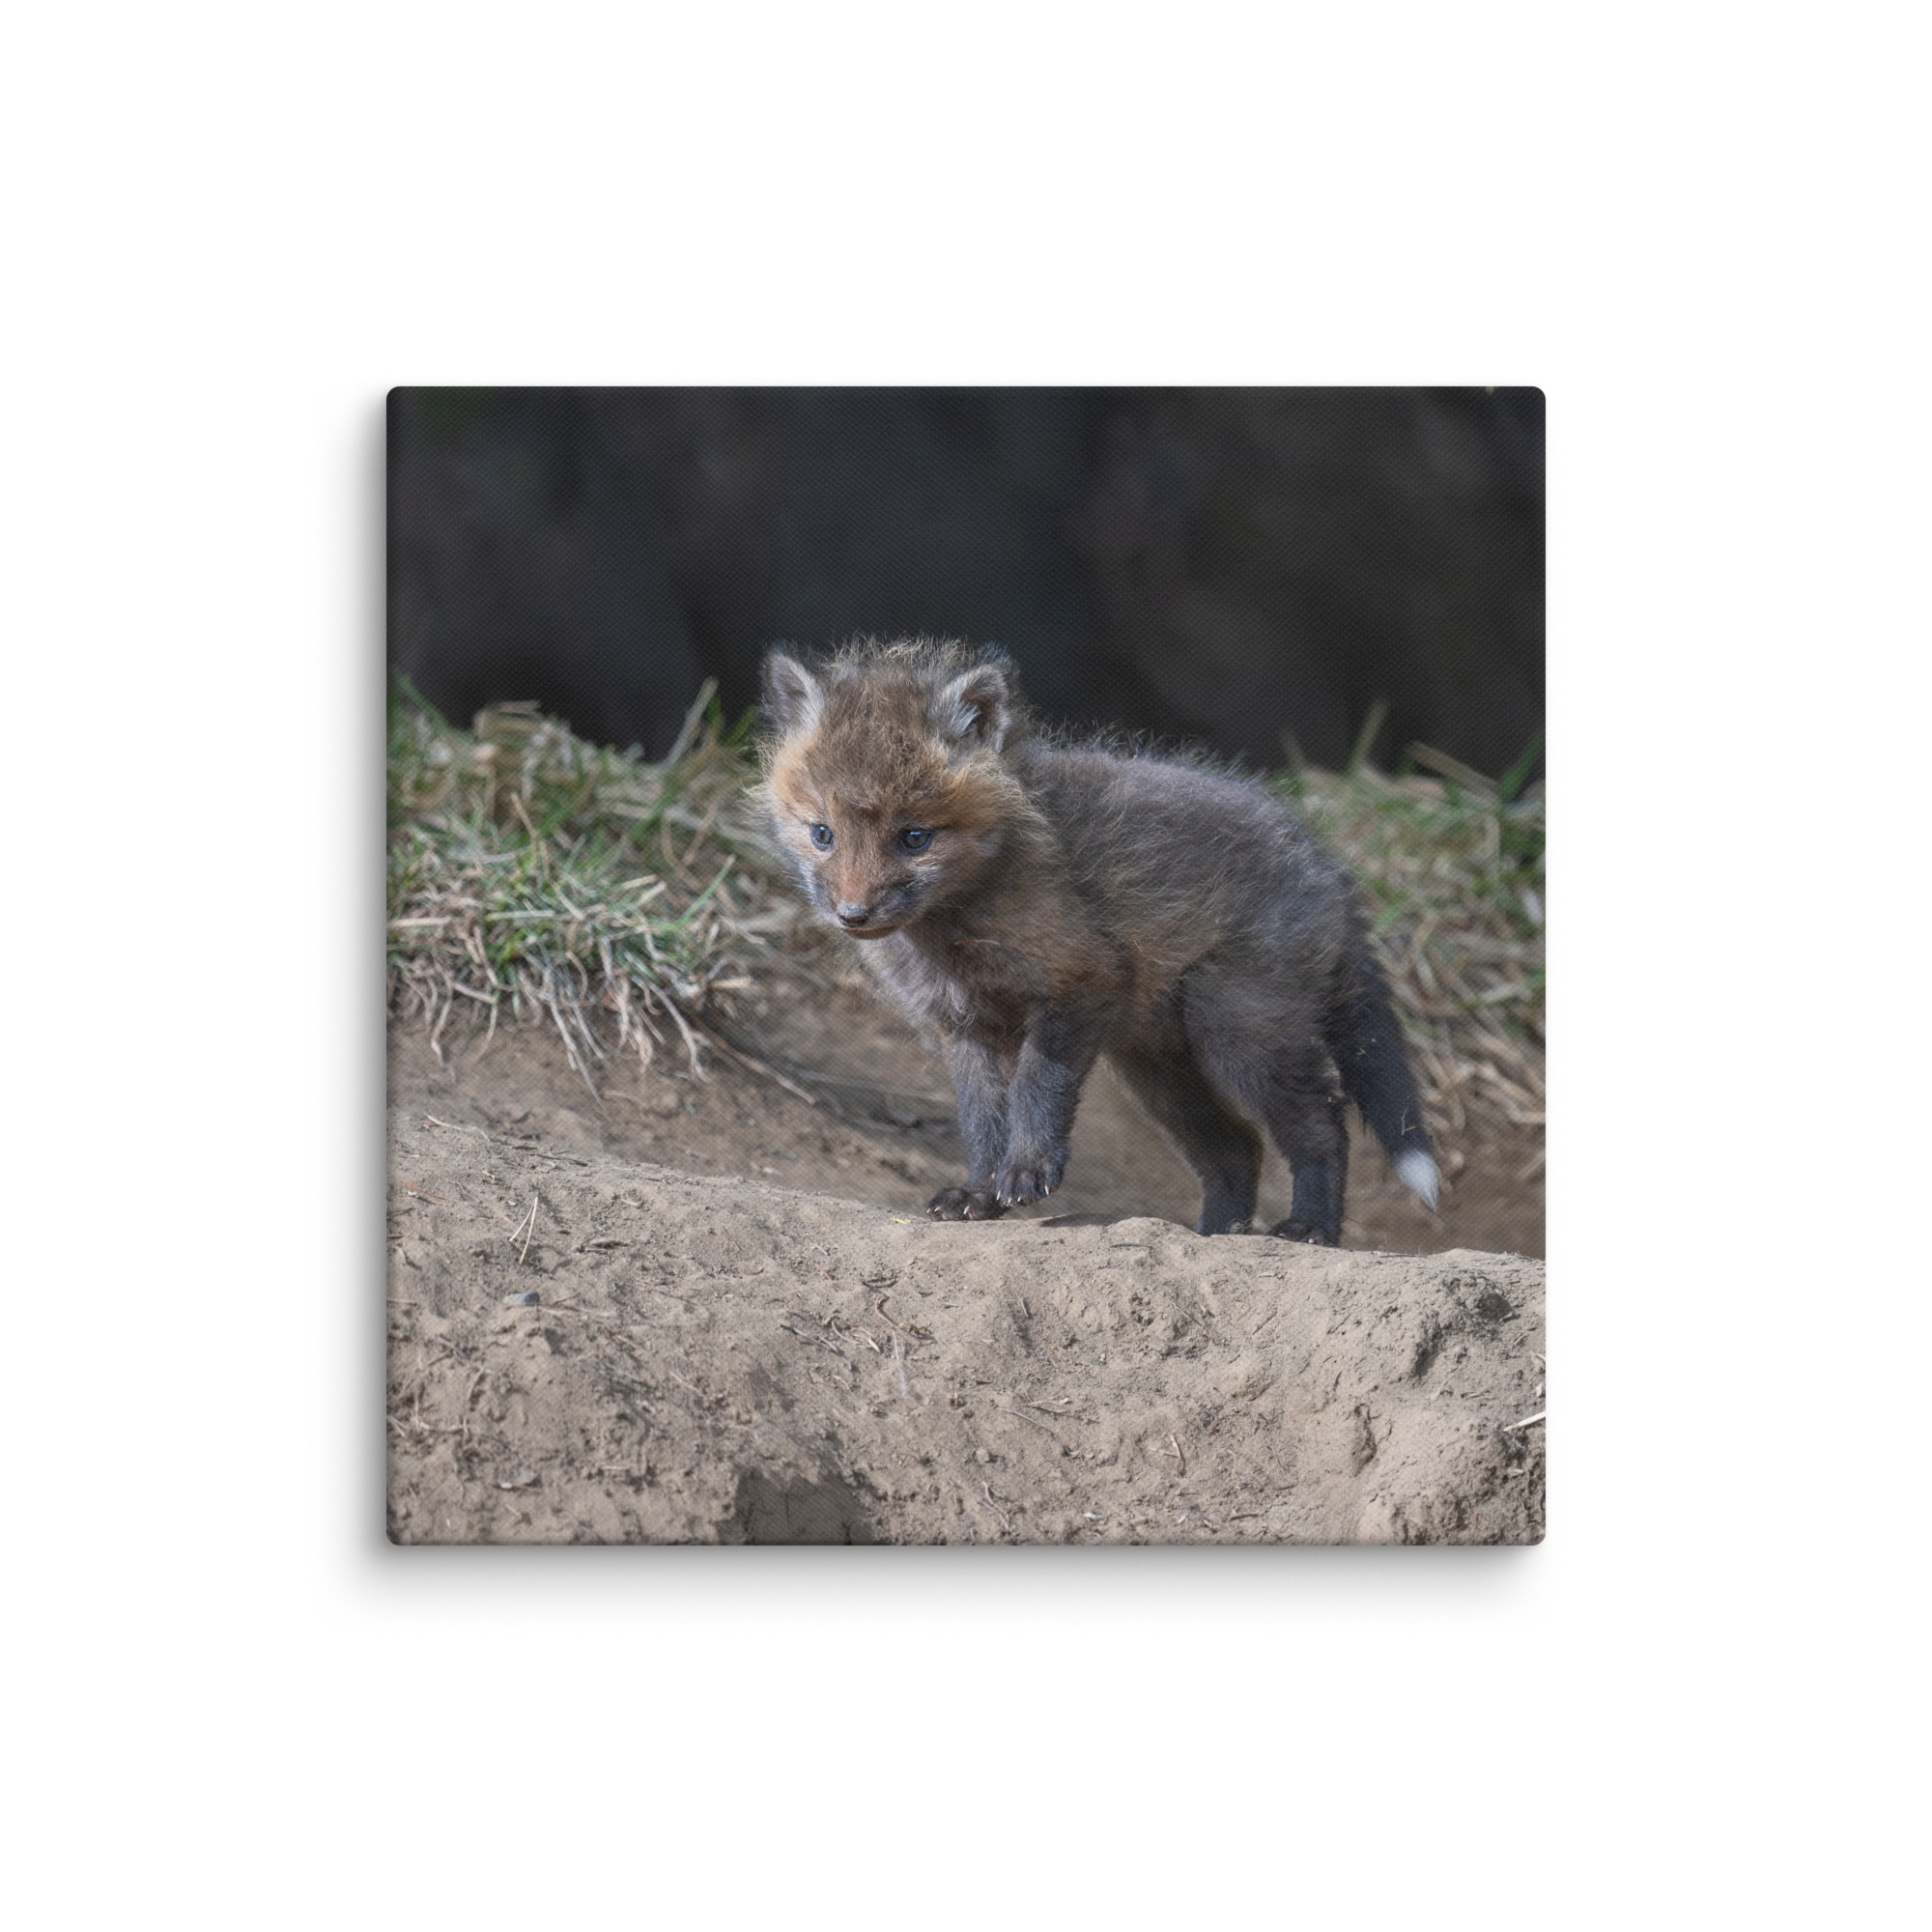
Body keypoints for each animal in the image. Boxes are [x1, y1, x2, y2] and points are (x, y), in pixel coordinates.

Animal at [758, 637, 1440, 1246]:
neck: (955, 935)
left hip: (1239, 1033)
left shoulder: (1080, 981)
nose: (853, 915)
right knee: (1237, 1147)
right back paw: (1216, 1234)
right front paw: (978, 1193)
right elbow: (981, 1120)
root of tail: (1328, 869)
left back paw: (1310, 1228)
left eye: (914, 837)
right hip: (1159, 1068)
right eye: (822, 834)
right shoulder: (964, 1026)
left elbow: (1036, 1088)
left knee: (1322, 1124)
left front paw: (1028, 1170)